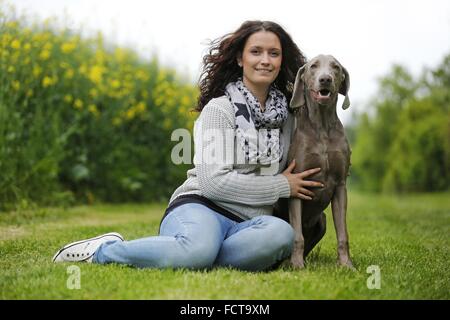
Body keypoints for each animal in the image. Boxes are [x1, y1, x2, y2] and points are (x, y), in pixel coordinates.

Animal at [274, 55, 356, 270]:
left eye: (336, 67)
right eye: (313, 66)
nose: (325, 79)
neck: (322, 127)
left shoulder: (341, 186)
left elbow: (343, 233)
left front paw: (346, 264)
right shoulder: (297, 183)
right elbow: (297, 236)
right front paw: (297, 265)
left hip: (322, 220)